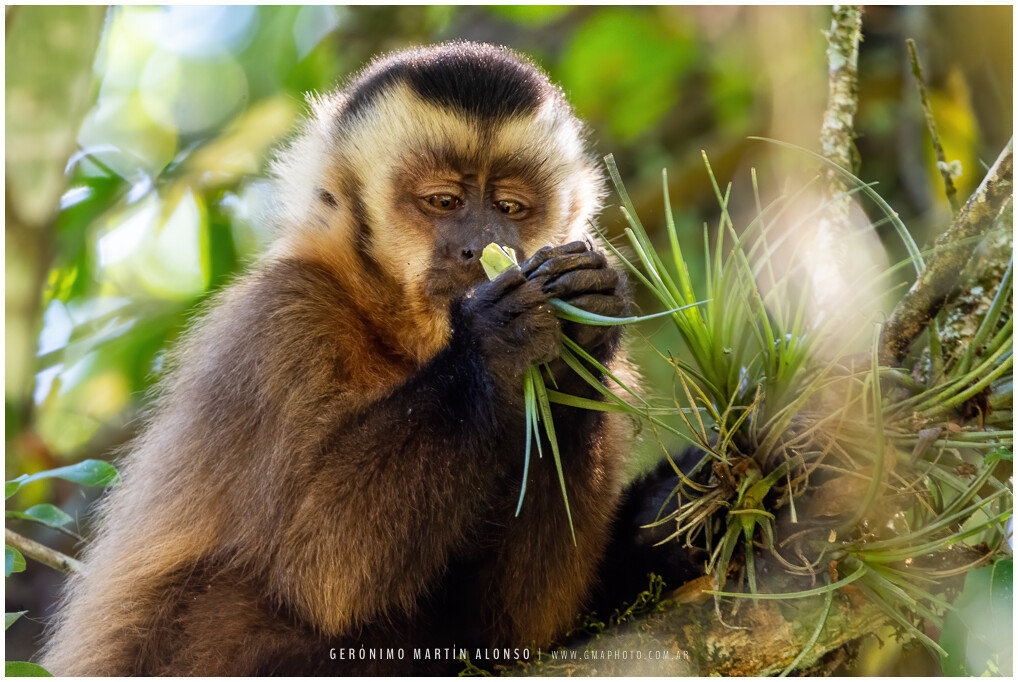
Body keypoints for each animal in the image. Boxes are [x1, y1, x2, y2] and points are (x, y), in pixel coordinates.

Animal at [39, 42, 692, 679]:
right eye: (444, 201)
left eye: (510, 207)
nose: (480, 248)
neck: (395, 331)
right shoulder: (287, 318)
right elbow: (323, 569)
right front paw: (495, 340)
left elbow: (515, 629)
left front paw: (584, 324)